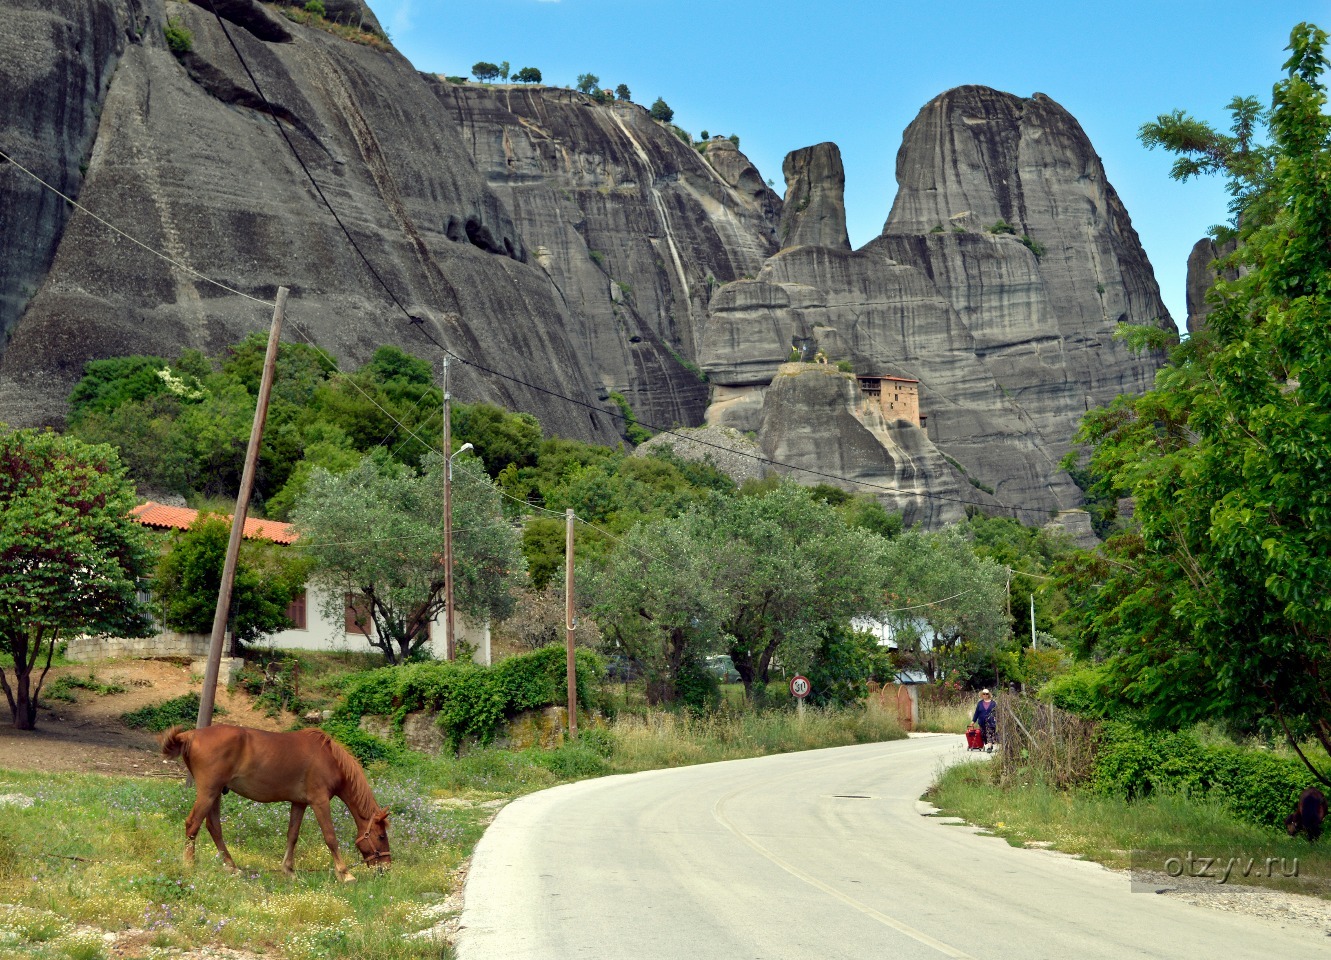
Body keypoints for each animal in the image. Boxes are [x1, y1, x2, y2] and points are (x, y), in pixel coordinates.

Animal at [161, 724, 388, 878]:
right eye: (382, 836)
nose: (386, 867)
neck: (329, 758)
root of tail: (190, 735)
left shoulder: (299, 803)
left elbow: (292, 835)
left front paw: (288, 869)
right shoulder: (320, 802)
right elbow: (330, 837)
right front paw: (345, 873)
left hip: (215, 794)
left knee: (214, 827)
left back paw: (232, 867)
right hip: (208, 792)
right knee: (193, 824)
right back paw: (189, 864)